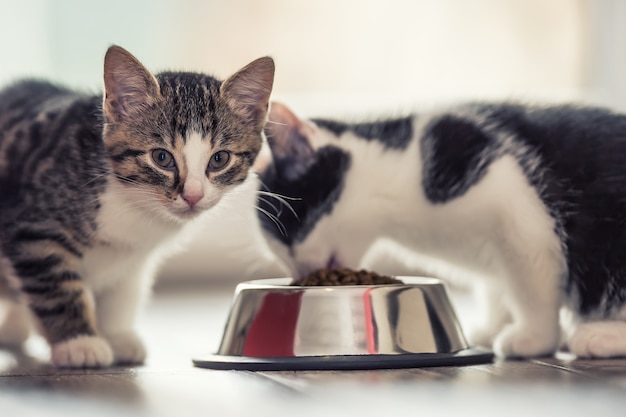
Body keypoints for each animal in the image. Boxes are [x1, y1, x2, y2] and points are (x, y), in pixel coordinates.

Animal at [0, 45, 272, 368]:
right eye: (161, 157)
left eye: (219, 159)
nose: (193, 195)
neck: (133, 202)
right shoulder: (34, 228)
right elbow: (55, 286)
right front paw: (79, 342)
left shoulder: (134, 258)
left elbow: (122, 294)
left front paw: (116, 336)